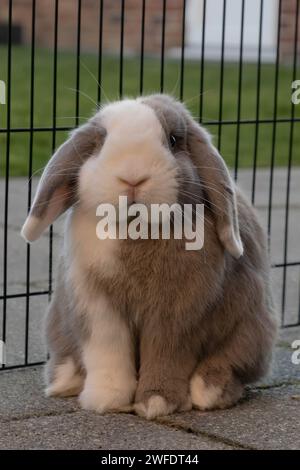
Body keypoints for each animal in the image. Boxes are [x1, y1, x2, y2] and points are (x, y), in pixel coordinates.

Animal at [21, 94, 278, 418]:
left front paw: (157, 402)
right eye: (100, 142)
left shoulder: (178, 315)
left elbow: (167, 354)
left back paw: (209, 390)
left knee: (233, 365)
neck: (137, 231)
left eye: (174, 140)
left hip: (251, 330)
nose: (132, 177)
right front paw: (106, 400)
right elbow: (108, 350)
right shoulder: (97, 307)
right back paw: (64, 381)